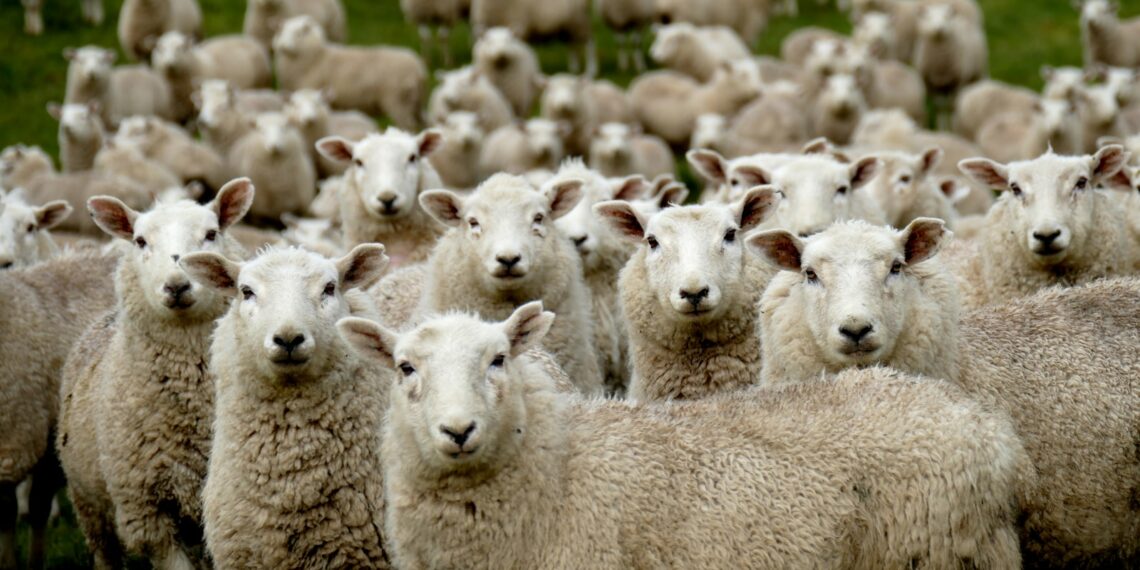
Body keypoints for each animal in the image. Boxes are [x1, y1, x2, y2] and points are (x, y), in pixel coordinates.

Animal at [274, 15, 426, 131]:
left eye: (298, 33)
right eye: (282, 31)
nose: (282, 46)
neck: (317, 57)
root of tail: (417, 66)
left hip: (398, 102)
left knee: (409, 126)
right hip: (415, 103)